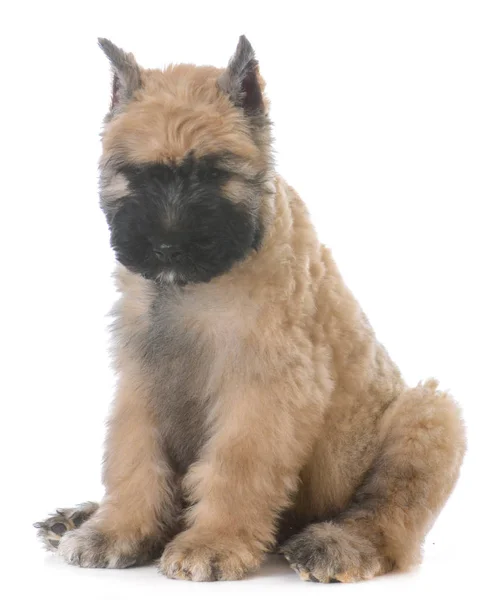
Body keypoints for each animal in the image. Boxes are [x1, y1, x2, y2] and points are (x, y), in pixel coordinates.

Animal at [35, 36, 466, 580]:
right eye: (135, 174)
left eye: (214, 173)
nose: (167, 247)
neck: (192, 289)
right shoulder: (142, 377)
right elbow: (133, 457)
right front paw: (117, 530)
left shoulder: (264, 389)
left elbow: (236, 466)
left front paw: (213, 543)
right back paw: (79, 517)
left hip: (427, 416)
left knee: (386, 520)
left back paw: (336, 545)